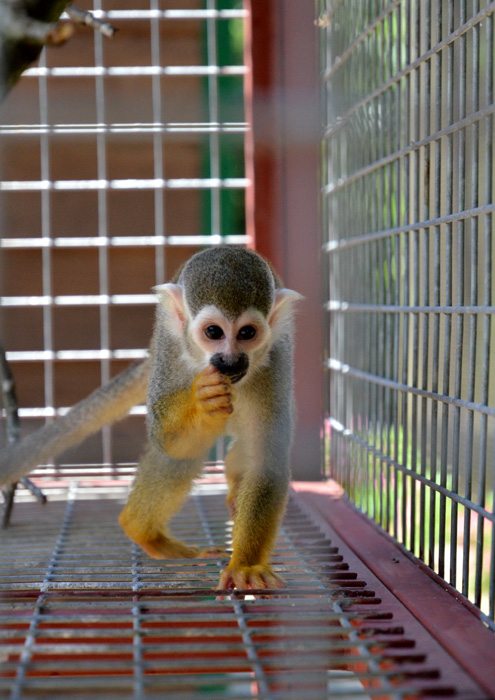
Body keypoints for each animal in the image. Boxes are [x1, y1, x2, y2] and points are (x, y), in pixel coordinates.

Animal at [0, 247, 302, 592]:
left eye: (247, 333)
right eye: (214, 332)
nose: (229, 361)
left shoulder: (275, 360)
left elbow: (267, 461)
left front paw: (246, 565)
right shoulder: (171, 348)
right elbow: (168, 442)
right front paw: (203, 401)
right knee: (181, 454)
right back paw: (144, 532)